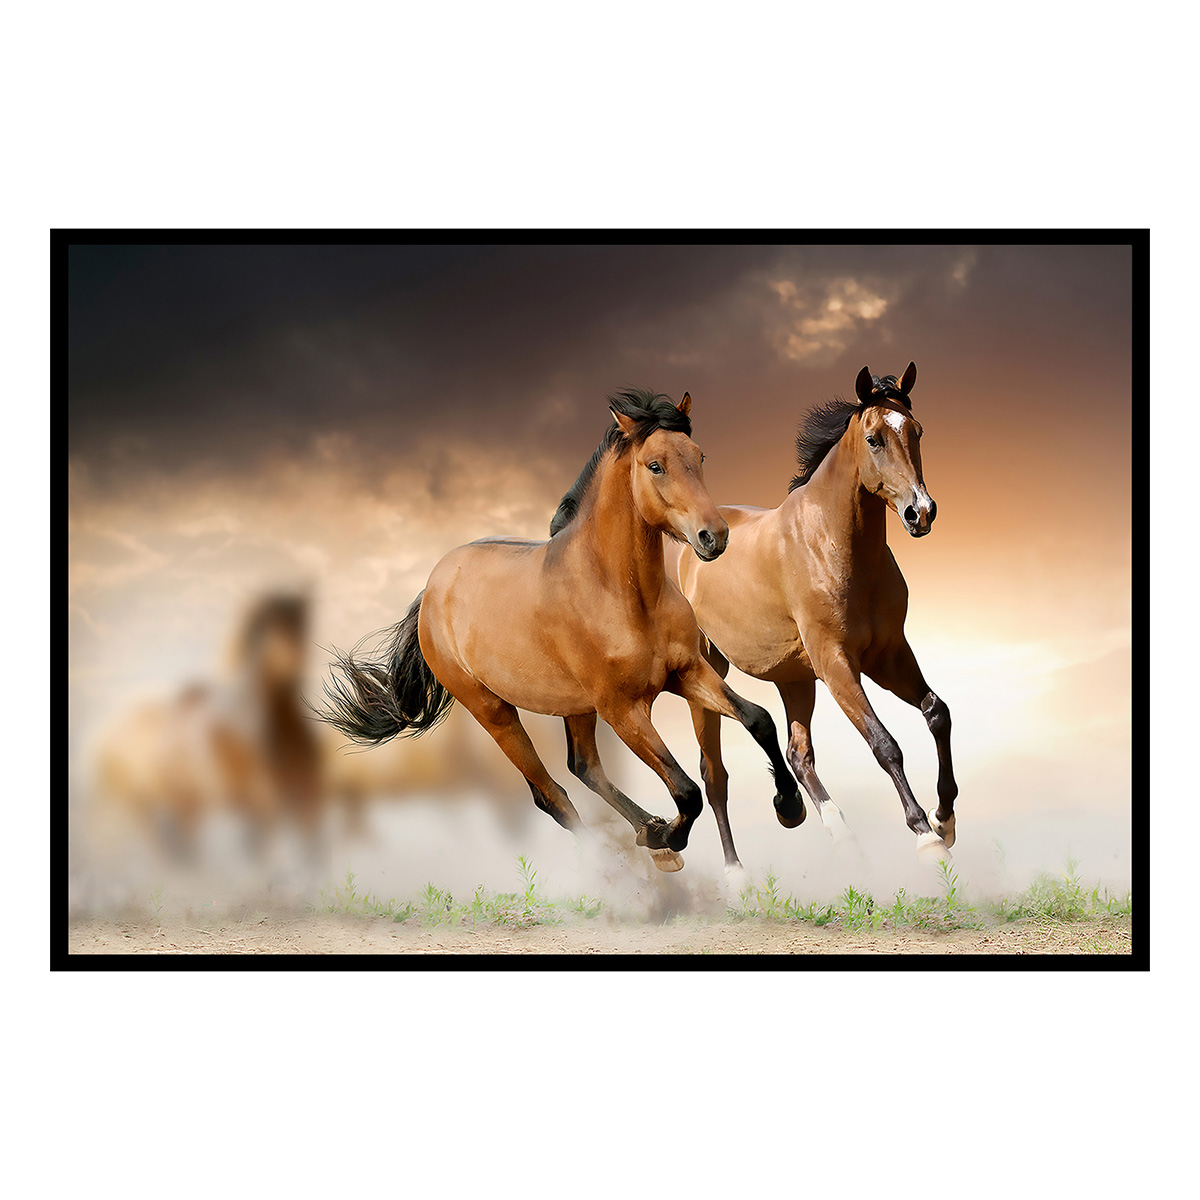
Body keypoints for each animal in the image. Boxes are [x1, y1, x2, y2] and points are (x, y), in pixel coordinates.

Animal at [318, 388, 804, 873]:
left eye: (699, 456)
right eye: (655, 465)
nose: (713, 537)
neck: (623, 595)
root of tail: (432, 589)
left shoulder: (686, 673)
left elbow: (759, 720)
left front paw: (789, 807)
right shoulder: (623, 709)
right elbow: (686, 790)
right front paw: (669, 835)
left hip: (575, 706)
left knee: (583, 766)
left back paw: (648, 833)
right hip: (494, 712)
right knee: (550, 794)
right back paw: (628, 859)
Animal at [676, 363, 958, 876]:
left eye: (917, 431)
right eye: (874, 439)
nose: (921, 512)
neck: (833, 544)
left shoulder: (888, 655)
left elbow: (936, 713)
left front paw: (944, 819)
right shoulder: (837, 663)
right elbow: (884, 743)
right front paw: (926, 836)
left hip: (794, 678)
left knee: (798, 754)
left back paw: (834, 831)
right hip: (707, 675)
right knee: (714, 774)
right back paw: (736, 873)